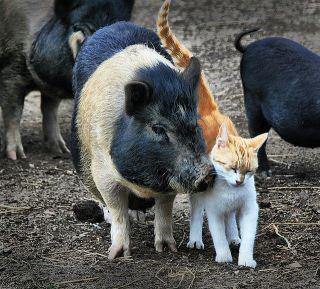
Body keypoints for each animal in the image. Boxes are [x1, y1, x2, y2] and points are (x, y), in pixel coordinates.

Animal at [0, 0, 134, 159]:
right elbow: (14, 112)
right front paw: (17, 156)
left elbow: (50, 110)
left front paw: (61, 151)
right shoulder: (11, 70)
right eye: (77, 27)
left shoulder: (51, 88)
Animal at [71, 21, 216, 258]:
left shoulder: (168, 180)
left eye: (195, 125)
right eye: (158, 128)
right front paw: (118, 255)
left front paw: (167, 249)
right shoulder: (102, 170)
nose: (207, 174)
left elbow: (164, 210)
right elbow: (117, 209)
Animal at [188, 124, 268, 268]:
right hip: (198, 193)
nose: (240, 181)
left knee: (230, 215)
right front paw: (224, 256)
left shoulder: (250, 209)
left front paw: (246, 259)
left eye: (248, 171)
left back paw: (234, 237)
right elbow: (219, 235)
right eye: (233, 168)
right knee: (197, 213)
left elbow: (249, 236)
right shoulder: (214, 211)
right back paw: (195, 239)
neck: (230, 190)